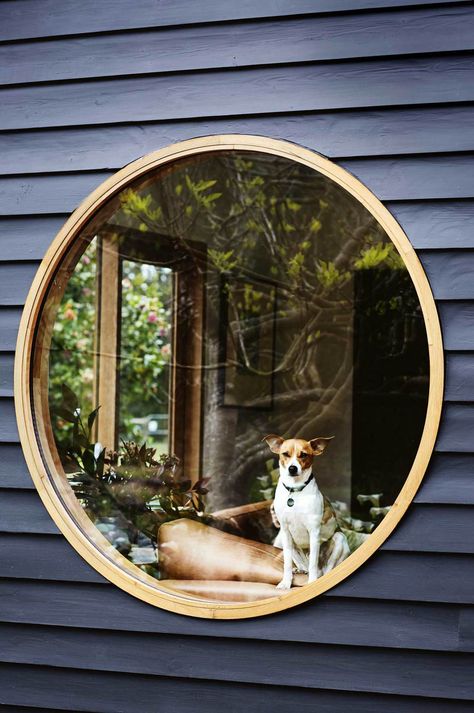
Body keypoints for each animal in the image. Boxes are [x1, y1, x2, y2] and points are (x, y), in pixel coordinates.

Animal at [262, 434, 350, 588]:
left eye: (303, 455)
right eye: (285, 454)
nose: (292, 468)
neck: (295, 491)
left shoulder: (314, 532)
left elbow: (313, 563)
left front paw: (312, 583)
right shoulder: (285, 532)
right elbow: (286, 564)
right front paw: (286, 583)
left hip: (339, 538)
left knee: (324, 570)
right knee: (304, 566)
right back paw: (300, 570)